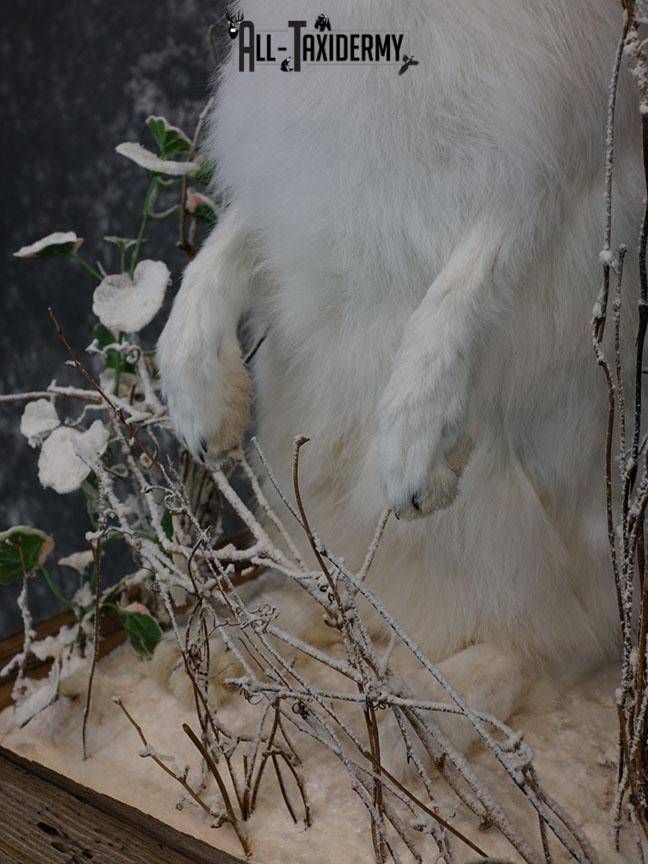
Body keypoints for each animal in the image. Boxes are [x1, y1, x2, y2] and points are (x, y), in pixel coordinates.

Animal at [157, 0, 642, 764]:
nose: (208, 427)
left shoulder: (532, 182)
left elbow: (461, 293)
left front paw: (414, 457)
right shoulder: (274, 179)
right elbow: (221, 251)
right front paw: (202, 406)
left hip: (520, 545)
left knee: (535, 651)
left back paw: (429, 724)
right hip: (306, 504)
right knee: (339, 597)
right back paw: (238, 645)